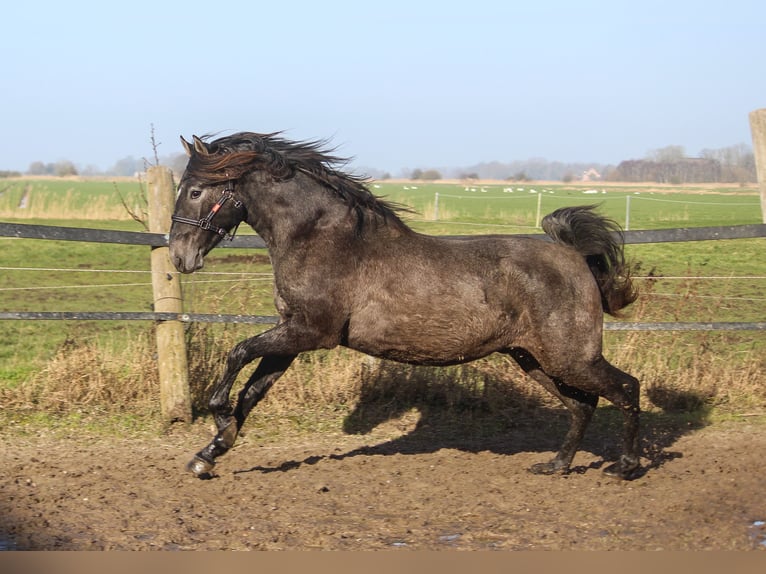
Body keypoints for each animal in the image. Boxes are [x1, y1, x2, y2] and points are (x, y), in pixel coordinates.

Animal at [168, 130, 640, 482]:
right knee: (582, 405)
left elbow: (238, 354)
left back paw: (625, 467)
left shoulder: (311, 332)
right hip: (534, 359)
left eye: (194, 191)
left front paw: (217, 418)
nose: (179, 257)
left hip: (569, 357)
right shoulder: (292, 336)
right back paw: (556, 465)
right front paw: (210, 452)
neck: (320, 239)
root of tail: (575, 256)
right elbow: (252, 392)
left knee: (625, 389)